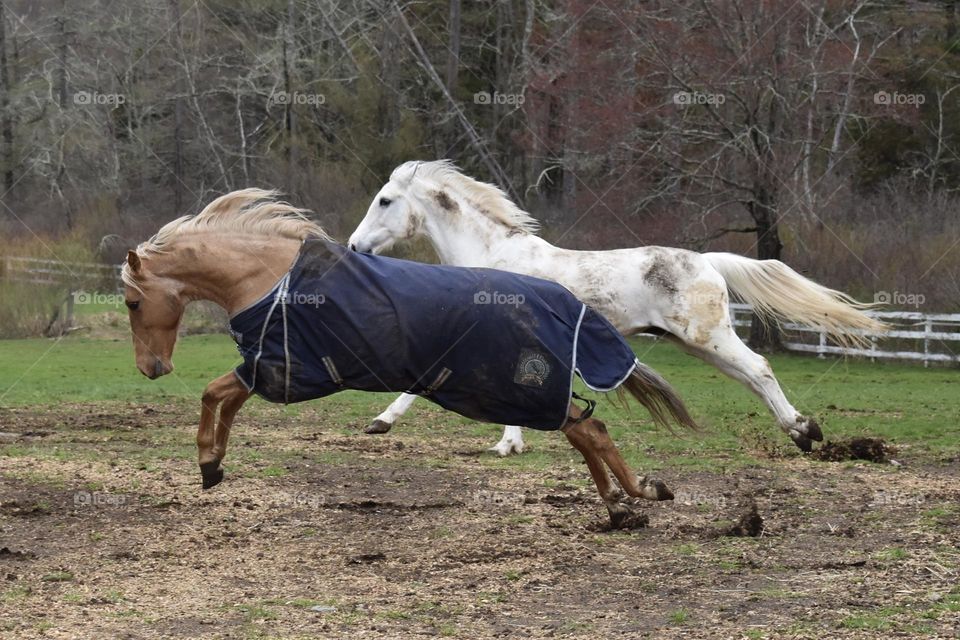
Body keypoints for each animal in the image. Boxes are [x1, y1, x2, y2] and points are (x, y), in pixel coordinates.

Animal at [125, 189, 696, 524]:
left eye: (132, 302)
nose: (152, 369)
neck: (274, 279)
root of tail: (570, 305)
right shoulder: (269, 367)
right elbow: (226, 402)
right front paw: (215, 465)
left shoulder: (280, 367)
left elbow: (212, 394)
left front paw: (207, 462)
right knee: (587, 430)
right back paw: (623, 504)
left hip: (516, 391)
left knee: (587, 430)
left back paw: (636, 496)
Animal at [344, 160, 884, 456]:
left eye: (385, 200)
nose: (353, 246)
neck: (493, 256)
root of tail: (708, 260)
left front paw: (504, 443)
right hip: (700, 345)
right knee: (752, 377)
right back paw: (799, 432)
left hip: (708, 338)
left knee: (761, 369)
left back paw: (805, 431)